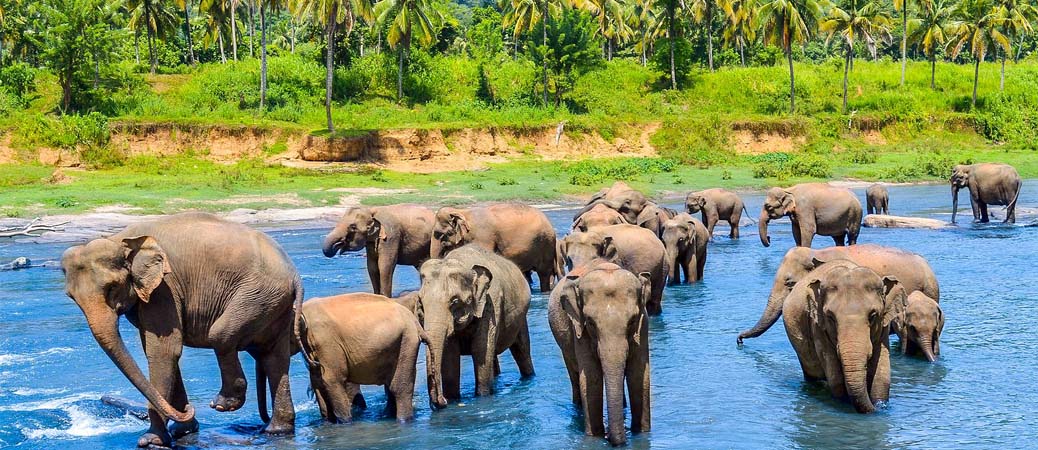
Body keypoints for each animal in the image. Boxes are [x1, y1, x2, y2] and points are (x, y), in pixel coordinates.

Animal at [61, 212, 300, 448]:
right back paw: (277, 431)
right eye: (71, 297)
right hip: (274, 304)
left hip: (258, 296)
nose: (188, 409)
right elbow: (158, 351)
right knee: (274, 357)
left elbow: (164, 351)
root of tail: (295, 275)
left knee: (221, 335)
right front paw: (182, 431)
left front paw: (151, 441)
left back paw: (223, 404)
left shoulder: (165, 288)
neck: (119, 239)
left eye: (111, 288)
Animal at [297, 292, 427, 423]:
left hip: (406, 341)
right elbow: (322, 382)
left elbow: (330, 380)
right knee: (396, 387)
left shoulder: (326, 342)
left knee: (399, 387)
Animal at [415, 244, 534, 405]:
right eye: (421, 303)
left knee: (522, 350)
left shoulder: (491, 303)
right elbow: (450, 354)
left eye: (455, 301)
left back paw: (529, 377)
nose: (441, 401)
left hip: (521, 318)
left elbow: (480, 349)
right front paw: (453, 398)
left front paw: (483, 397)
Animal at [549, 260, 651, 446]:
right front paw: (595, 437)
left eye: (632, 320)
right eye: (590, 322)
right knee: (574, 375)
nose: (609, 436)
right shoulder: (578, 328)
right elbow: (591, 377)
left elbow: (639, 375)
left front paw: (641, 433)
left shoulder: (643, 324)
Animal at [783, 259, 903, 413]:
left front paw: (880, 404)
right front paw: (845, 403)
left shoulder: (883, 328)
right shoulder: (817, 326)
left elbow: (882, 373)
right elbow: (835, 376)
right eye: (830, 317)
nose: (876, 409)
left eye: (873, 315)